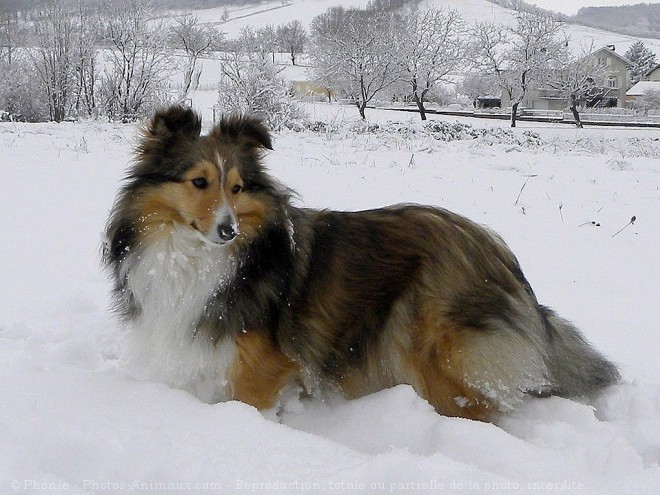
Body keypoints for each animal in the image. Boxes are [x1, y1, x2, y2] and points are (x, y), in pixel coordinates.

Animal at [102, 105, 620, 422]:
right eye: (198, 181)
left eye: (237, 187)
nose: (228, 229)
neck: (194, 256)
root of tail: (500, 252)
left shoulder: (259, 369)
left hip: (436, 355)